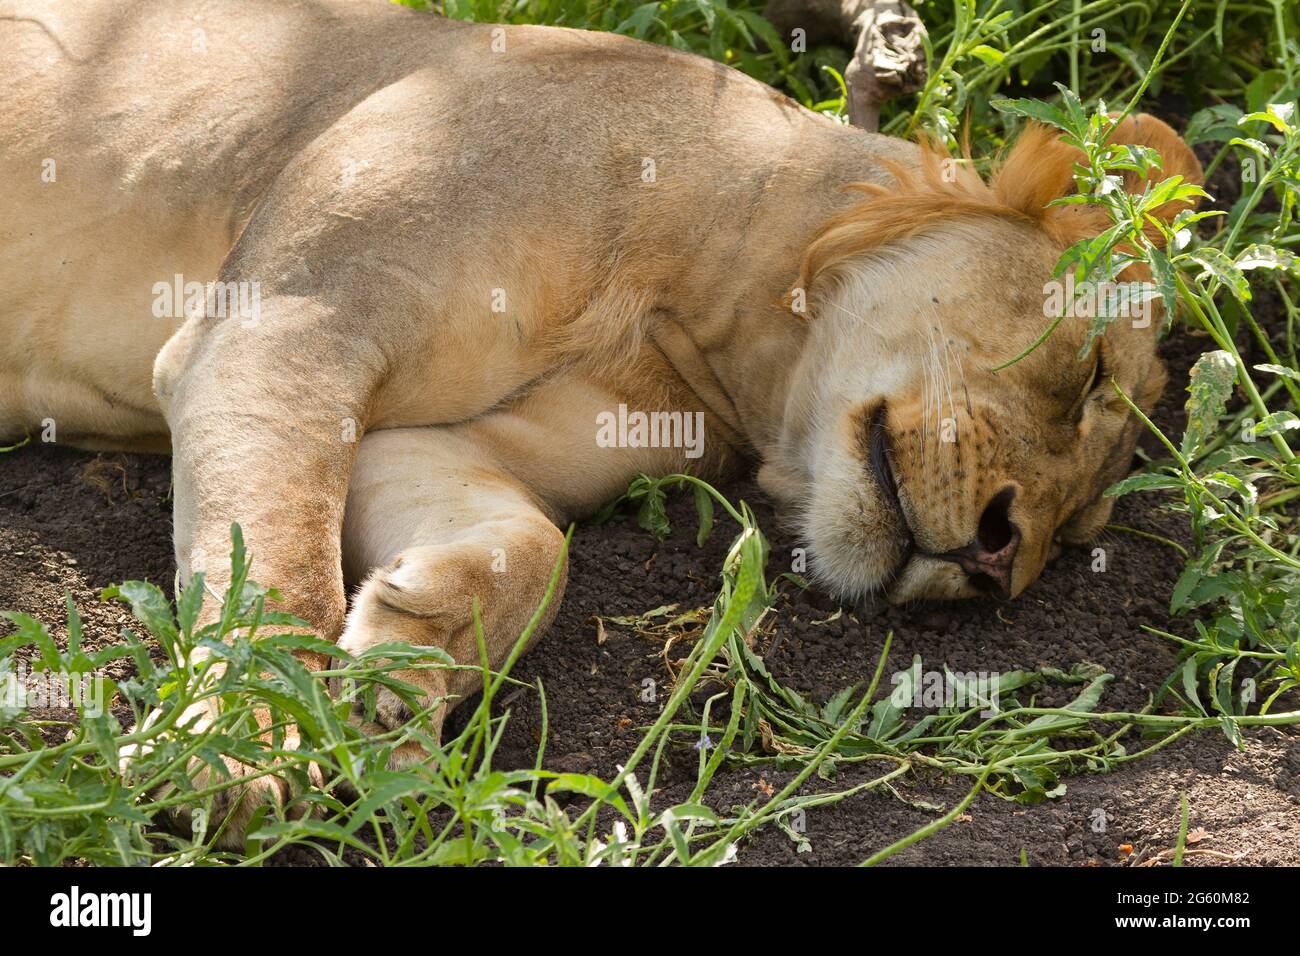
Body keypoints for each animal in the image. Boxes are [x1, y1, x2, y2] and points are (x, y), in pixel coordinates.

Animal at [0, 3, 1201, 796]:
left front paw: (407, 661)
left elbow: (536, 550)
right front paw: (245, 741)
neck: (702, 315)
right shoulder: (279, 326)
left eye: (1079, 527)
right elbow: (280, 570)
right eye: (1088, 377)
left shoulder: (422, 434)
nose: (999, 557)